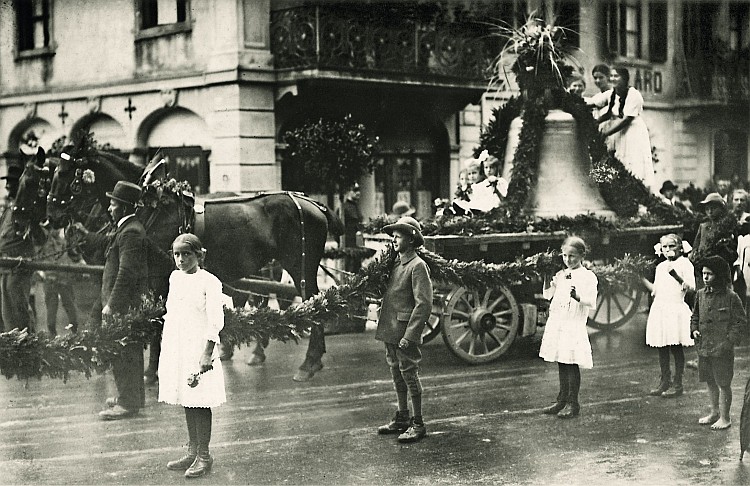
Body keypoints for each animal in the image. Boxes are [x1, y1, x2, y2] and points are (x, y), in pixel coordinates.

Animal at [41, 146, 344, 382]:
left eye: (66, 175)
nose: (51, 214)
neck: (149, 205)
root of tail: (311, 202)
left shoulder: (160, 278)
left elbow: (158, 324)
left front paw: (152, 372)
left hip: (299, 265)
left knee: (312, 301)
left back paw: (308, 362)